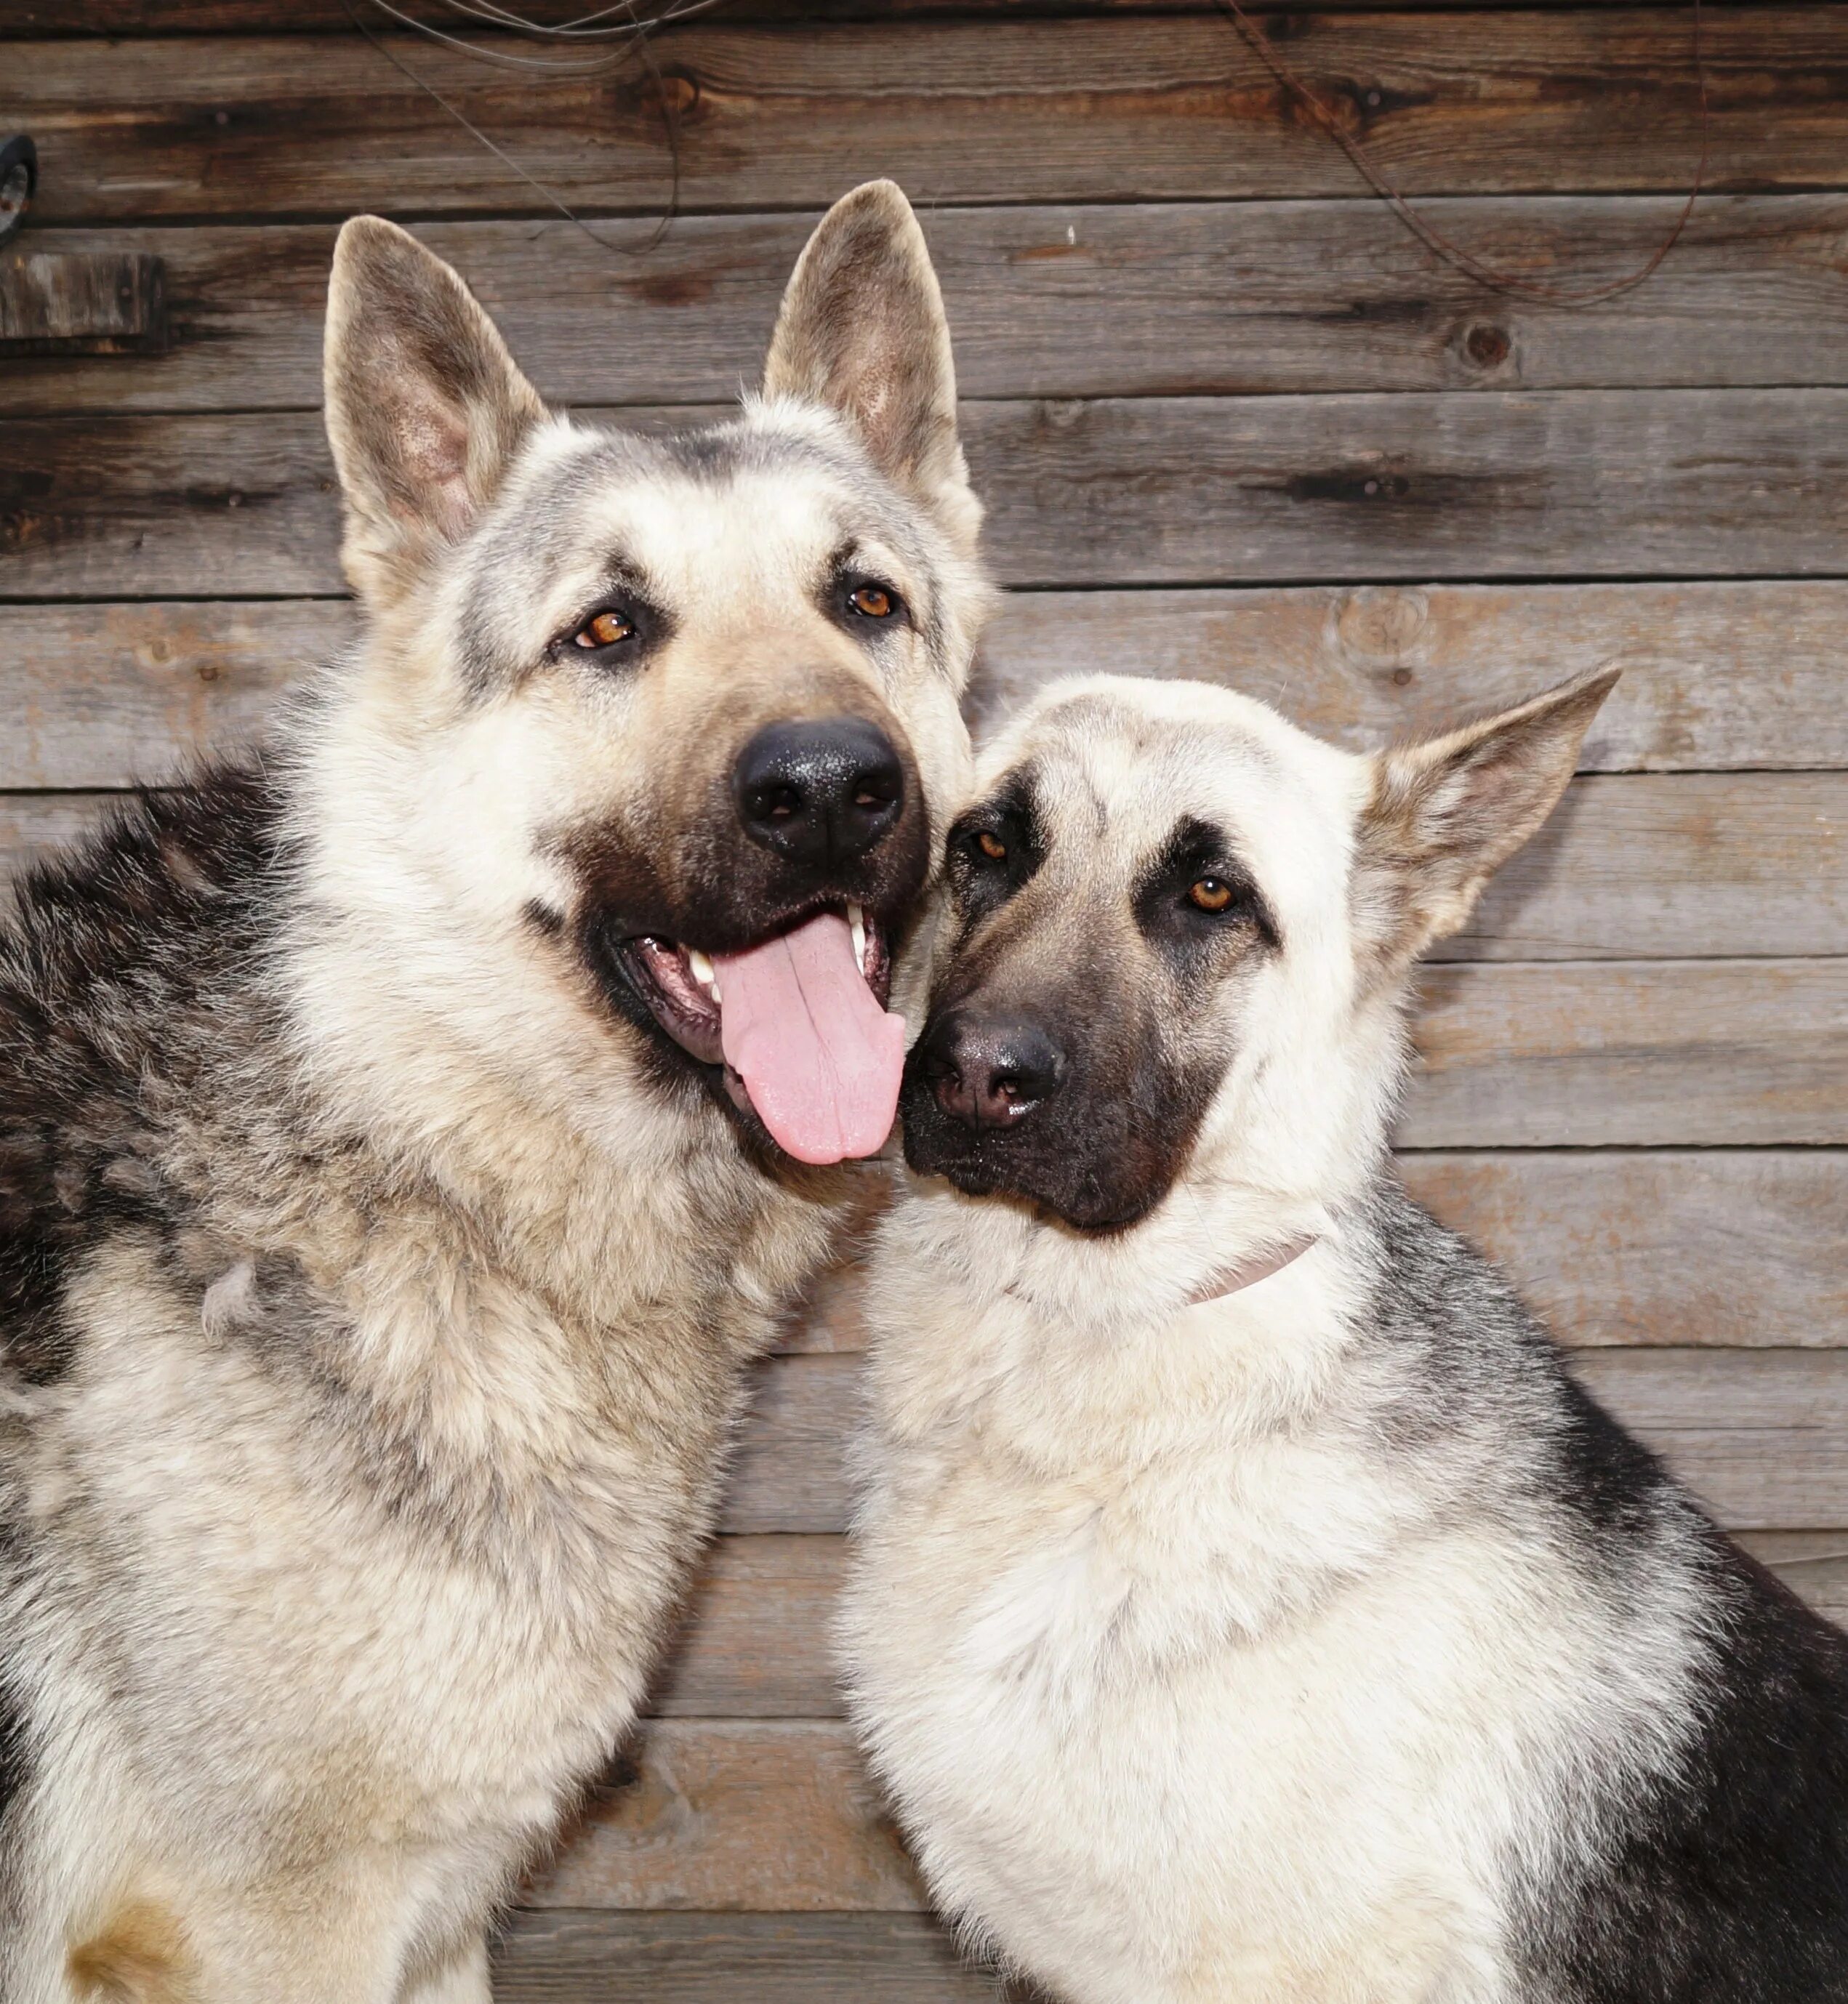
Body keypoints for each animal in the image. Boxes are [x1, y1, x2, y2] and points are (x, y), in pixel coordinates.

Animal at [0, 180, 994, 1995]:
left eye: (866, 602)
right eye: (607, 629)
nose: (832, 786)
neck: (405, 1096)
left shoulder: (437, 1921)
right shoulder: (282, 1930)